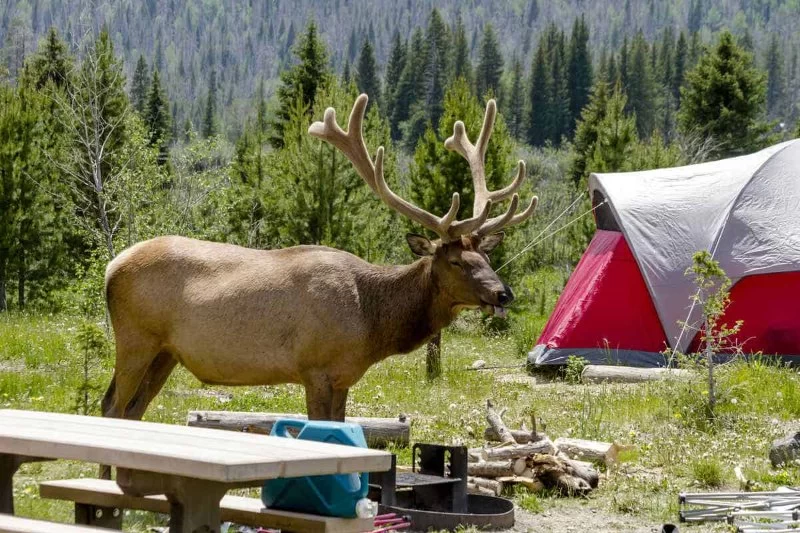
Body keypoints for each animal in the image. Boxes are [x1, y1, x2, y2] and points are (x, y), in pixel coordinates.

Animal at [101, 94, 537, 430]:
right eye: (456, 262)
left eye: (486, 254)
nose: (504, 293)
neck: (373, 321)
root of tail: (111, 267)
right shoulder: (315, 369)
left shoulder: (344, 377)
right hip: (136, 338)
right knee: (112, 406)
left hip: (166, 352)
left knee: (132, 410)